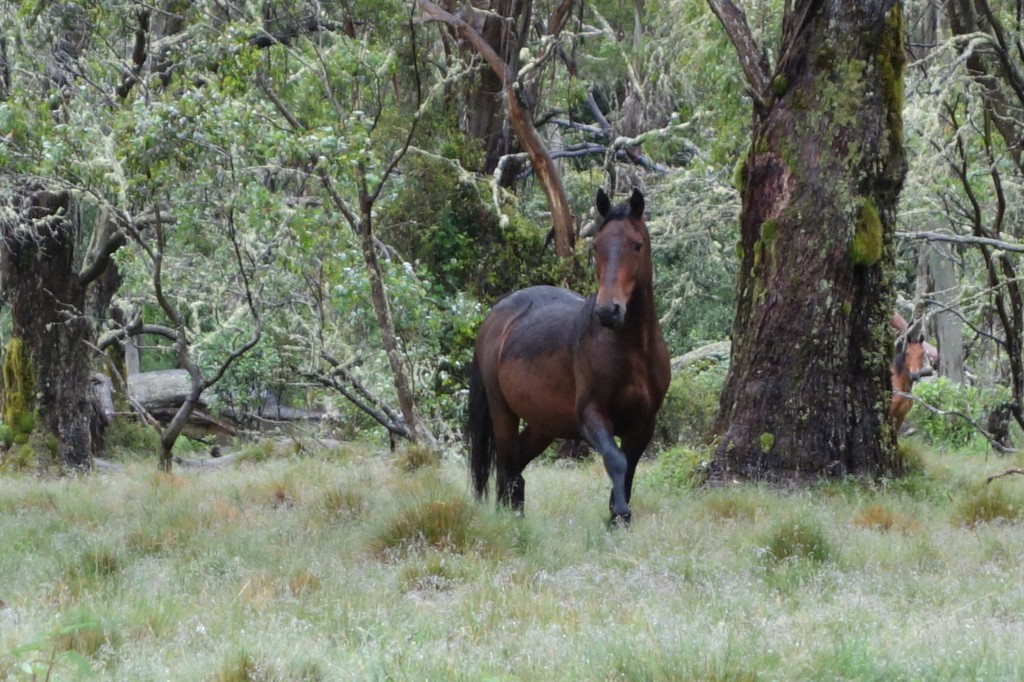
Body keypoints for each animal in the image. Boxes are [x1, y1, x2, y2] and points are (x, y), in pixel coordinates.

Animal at [467, 188, 670, 525]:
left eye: (637, 245)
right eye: (597, 246)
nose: (608, 311)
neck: (633, 351)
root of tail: (498, 314)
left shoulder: (644, 424)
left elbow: (628, 471)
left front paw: (618, 517)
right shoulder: (590, 416)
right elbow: (616, 461)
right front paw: (620, 514)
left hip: (543, 424)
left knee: (515, 467)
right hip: (502, 412)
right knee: (508, 469)